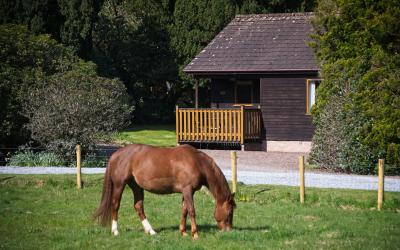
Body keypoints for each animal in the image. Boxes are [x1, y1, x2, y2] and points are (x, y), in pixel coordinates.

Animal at [94, 143, 236, 238]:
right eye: (230, 212)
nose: (229, 230)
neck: (197, 162)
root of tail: (116, 154)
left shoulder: (187, 192)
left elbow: (184, 210)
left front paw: (183, 232)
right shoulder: (187, 189)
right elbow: (191, 210)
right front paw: (195, 234)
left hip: (136, 186)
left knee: (138, 207)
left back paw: (151, 231)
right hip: (119, 184)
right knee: (115, 205)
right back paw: (115, 231)